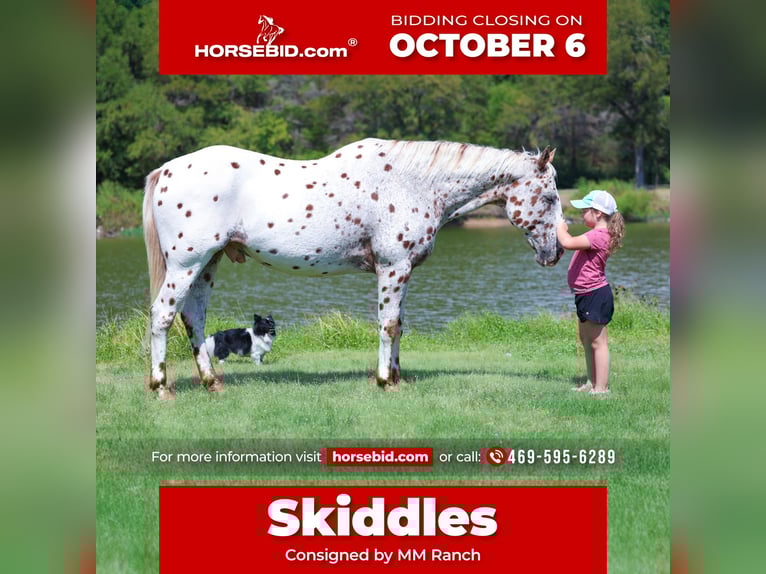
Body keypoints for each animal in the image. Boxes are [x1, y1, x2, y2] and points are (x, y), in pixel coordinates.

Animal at [143, 138, 563, 399]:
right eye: (548, 196)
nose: (555, 252)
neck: (412, 184)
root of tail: (165, 171)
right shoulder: (393, 267)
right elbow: (388, 326)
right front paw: (384, 381)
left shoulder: (403, 270)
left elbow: (399, 326)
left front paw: (397, 378)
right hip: (186, 264)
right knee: (163, 315)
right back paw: (160, 386)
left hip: (207, 264)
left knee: (194, 319)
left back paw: (211, 382)